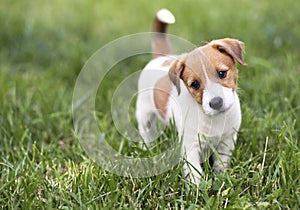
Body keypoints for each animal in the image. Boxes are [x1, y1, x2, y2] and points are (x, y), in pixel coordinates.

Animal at [136, 9, 246, 185]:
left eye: (222, 73)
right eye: (194, 84)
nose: (216, 103)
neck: (213, 118)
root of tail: (160, 57)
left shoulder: (227, 141)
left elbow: (221, 164)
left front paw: (220, 179)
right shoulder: (190, 146)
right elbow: (195, 172)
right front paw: (198, 188)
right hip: (144, 112)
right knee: (146, 131)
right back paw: (146, 148)